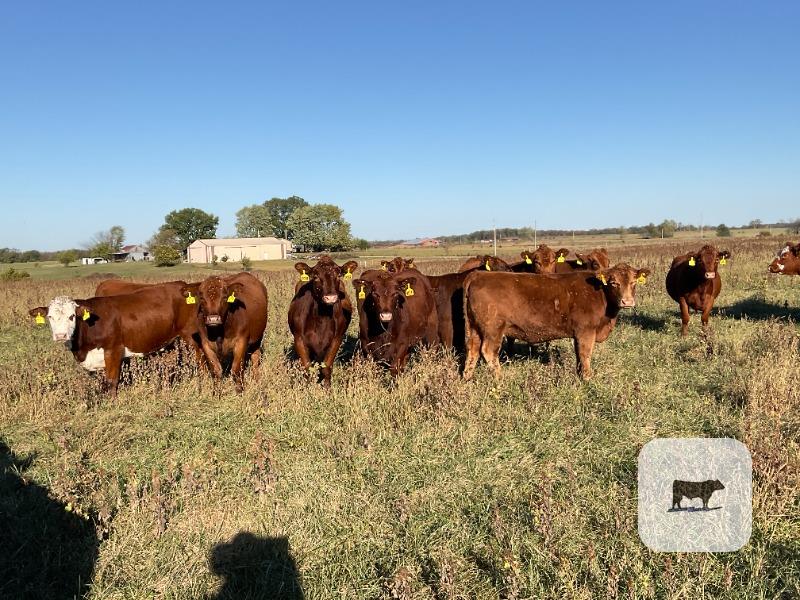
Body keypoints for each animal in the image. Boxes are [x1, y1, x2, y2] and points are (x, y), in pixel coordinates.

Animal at [28, 283, 213, 395]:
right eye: (50, 317)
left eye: (72, 316)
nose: (61, 336)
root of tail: (185, 286)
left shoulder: (113, 350)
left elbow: (111, 381)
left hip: (192, 335)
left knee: (202, 359)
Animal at [288, 257, 358, 385]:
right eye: (315, 276)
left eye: (339, 275)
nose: (330, 297)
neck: (322, 319)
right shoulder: (299, 339)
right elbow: (307, 368)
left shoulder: (336, 339)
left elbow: (326, 367)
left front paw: (327, 388)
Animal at [462, 264, 650, 380]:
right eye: (613, 283)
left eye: (633, 282)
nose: (627, 301)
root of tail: (478, 275)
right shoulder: (586, 331)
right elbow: (585, 355)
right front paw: (587, 379)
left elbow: (579, 356)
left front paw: (580, 375)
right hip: (493, 328)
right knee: (488, 351)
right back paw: (500, 379)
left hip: (474, 328)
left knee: (472, 351)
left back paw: (467, 378)